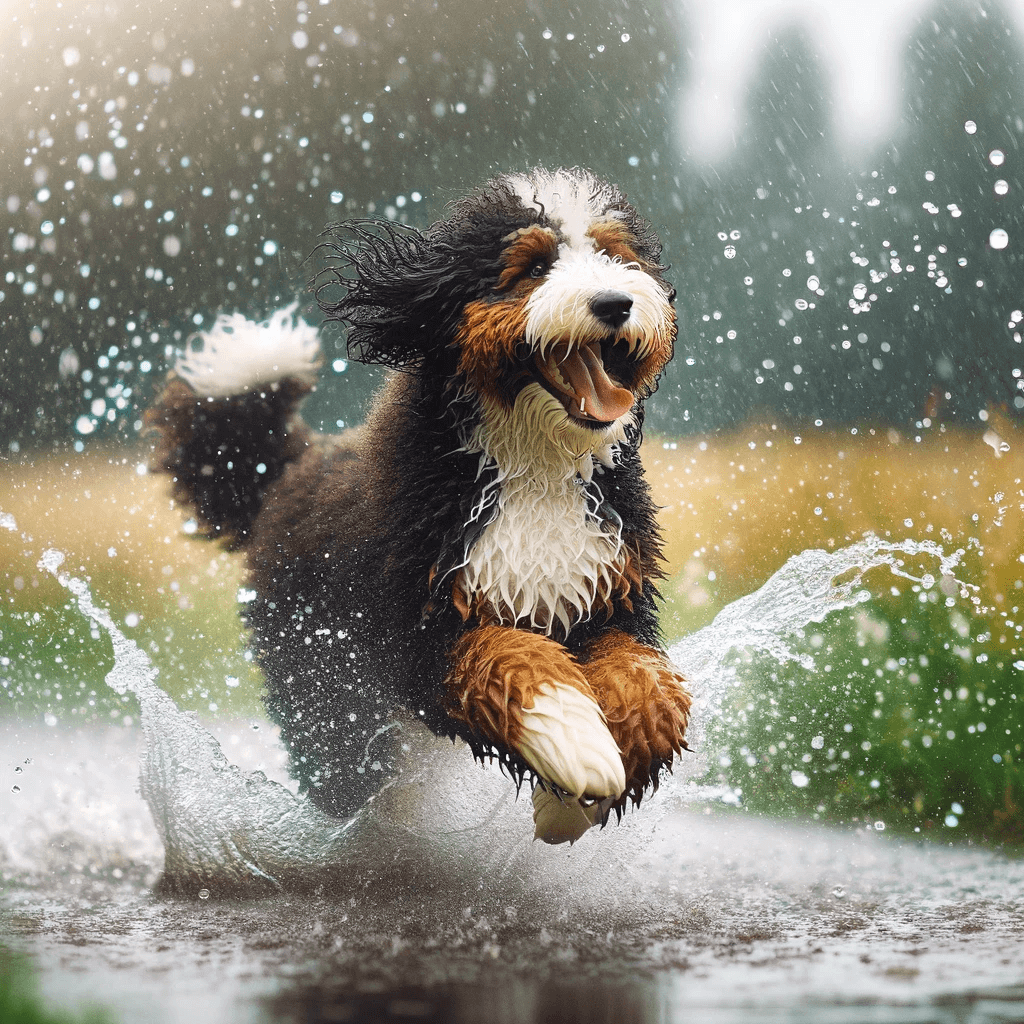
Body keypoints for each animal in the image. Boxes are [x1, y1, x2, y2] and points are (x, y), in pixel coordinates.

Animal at [148, 165, 692, 839]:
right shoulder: (422, 629)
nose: (615, 303)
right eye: (535, 266)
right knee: (345, 762)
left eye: (616, 256)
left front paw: (576, 795)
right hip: (318, 670)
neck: (532, 468)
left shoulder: (614, 592)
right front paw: (575, 745)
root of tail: (292, 469)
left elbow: (646, 683)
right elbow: (511, 659)